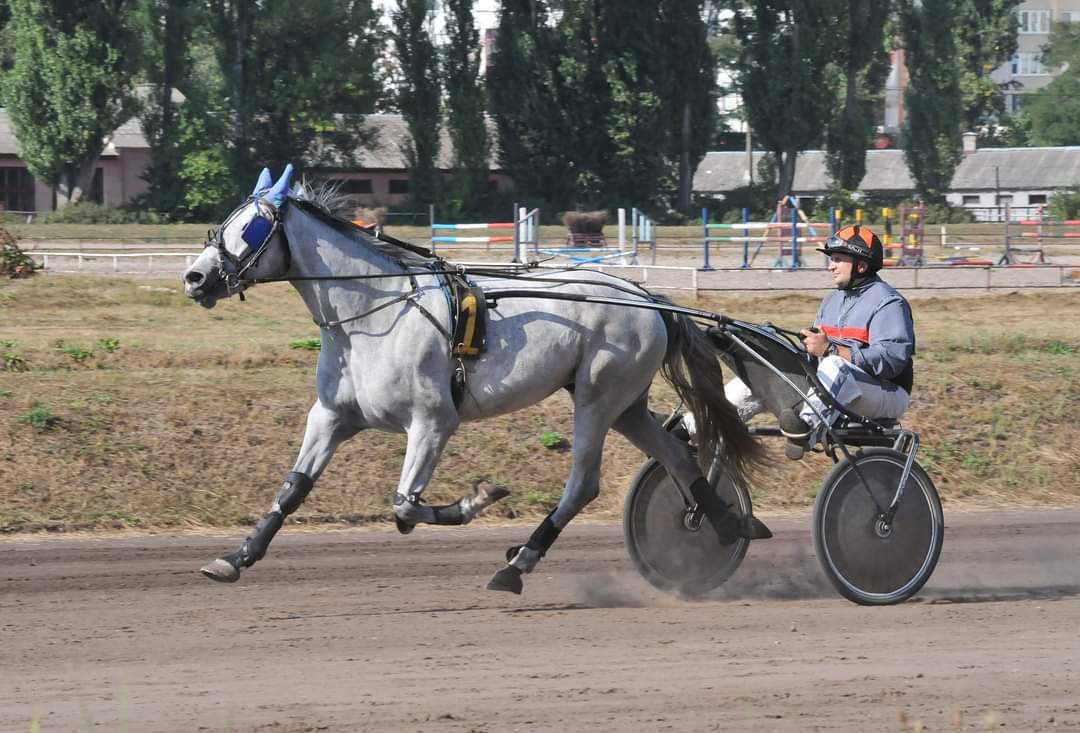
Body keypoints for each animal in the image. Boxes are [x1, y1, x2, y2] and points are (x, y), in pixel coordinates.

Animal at [181, 163, 764, 591]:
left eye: (251, 227)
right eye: (222, 225)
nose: (195, 277)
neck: (370, 315)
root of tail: (644, 296)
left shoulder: (432, 422)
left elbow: (404, 506)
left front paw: (477, 498)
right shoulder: (331, 417)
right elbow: (293, 488)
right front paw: (237, 556)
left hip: (598, 398)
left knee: (583, 483)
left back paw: (517, 564)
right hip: (625, 404)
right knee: (675, 455)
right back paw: (722, 524)